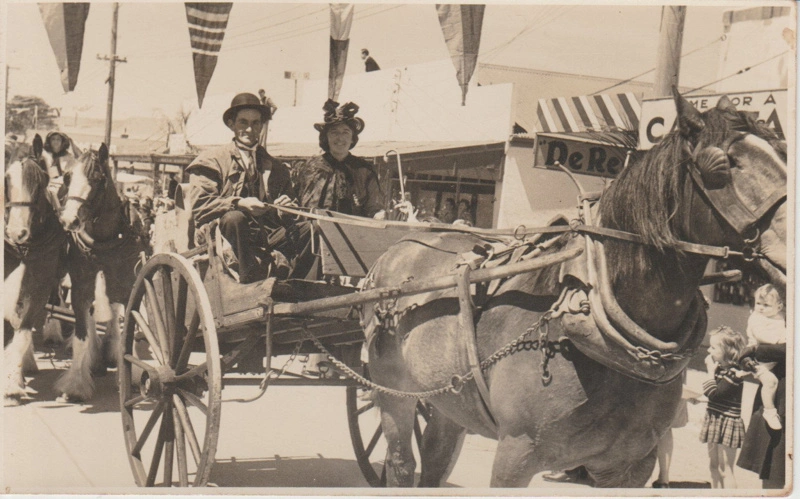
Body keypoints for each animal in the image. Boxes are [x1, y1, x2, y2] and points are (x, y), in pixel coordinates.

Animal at [57, 145, 148, 402]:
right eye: (68, 176)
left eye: (97, 179)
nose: (68, 219)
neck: (104, 242)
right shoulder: (80, 289)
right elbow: (81, 336)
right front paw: (76, 384)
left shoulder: (129, 291)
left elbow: (127, 332)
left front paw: (129, 376)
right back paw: (96, 358)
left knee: (114, 318)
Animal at [362, 91, 788, 488]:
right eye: (722, 165)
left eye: (784, 153)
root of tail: (398, 248)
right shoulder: (515, 455)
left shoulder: (630, 467)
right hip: (392, 388)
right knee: (402, 464)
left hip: (450, 397)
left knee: (435, 459)